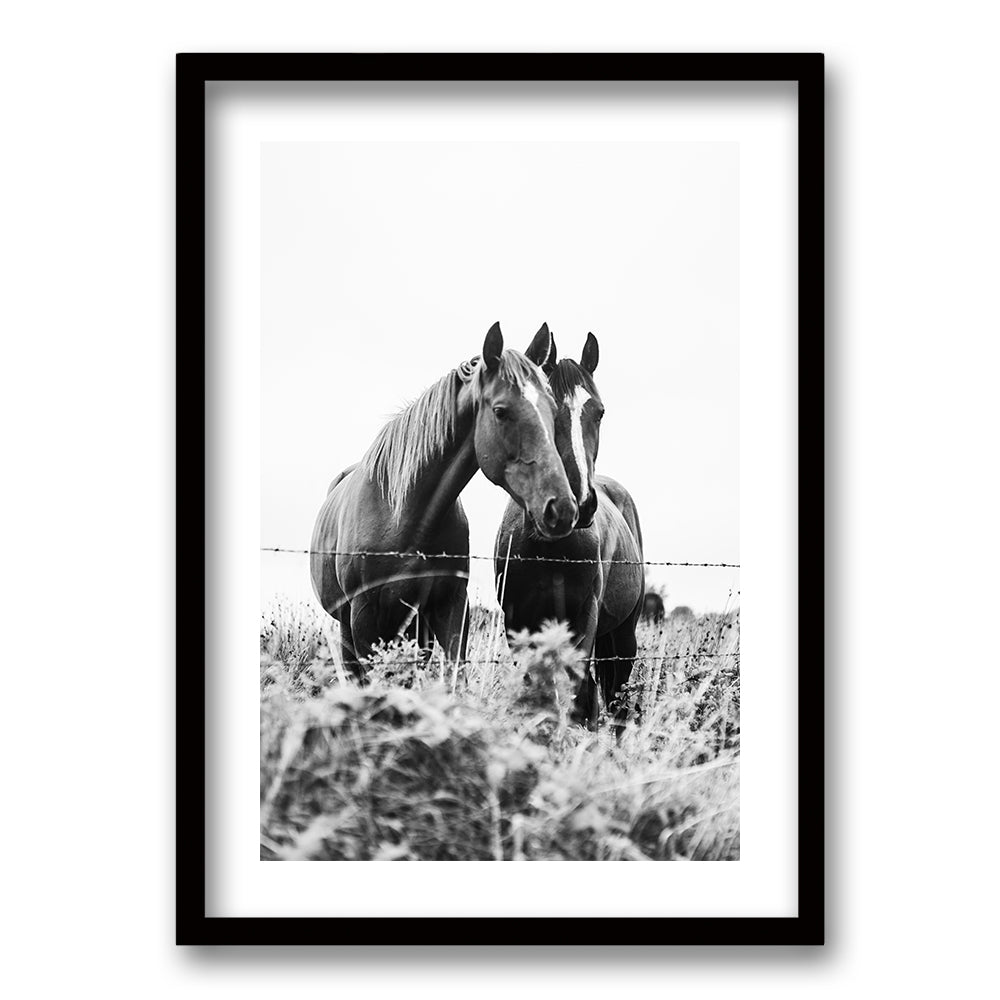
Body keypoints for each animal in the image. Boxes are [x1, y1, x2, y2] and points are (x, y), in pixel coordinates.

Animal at [311, 322, 578, 677]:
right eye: (501, 411)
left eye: (553, 410)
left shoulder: (449, 607)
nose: (561, 508)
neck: (404, 515)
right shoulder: (363, 616)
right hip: (350, 627)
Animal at [494, 329, 645, 729]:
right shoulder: (518, 623)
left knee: (613, 700)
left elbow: (578, 696)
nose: (580, 502)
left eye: (600, 412)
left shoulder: (584, 619)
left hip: (623, 636)